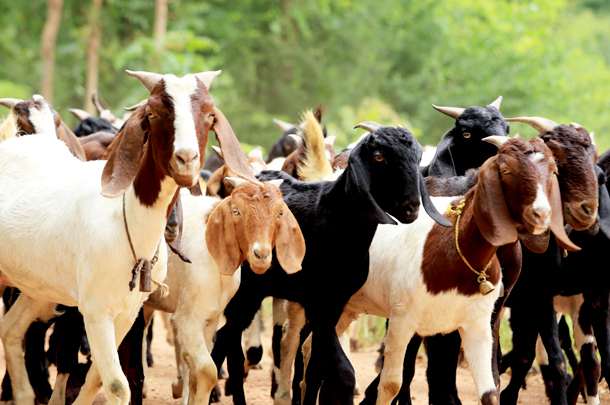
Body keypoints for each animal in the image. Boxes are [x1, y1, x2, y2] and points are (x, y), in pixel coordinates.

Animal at [211, 123, 448, 404]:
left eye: (418, 157)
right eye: (379, 157)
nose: (411, 207)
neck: (335, 219)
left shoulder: (336, 303)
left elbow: (315, 367)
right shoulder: (319, 304)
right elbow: (343, 372)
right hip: (246, 292)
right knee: (223, 342)